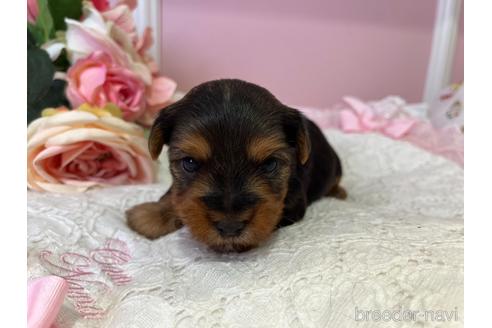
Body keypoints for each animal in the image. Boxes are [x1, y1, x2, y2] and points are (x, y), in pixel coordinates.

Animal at [126, 79, 346, 251]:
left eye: (270, 164)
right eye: (189, 163)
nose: (229, 227)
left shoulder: (293, 204)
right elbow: (175, 195)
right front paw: (151, 214)